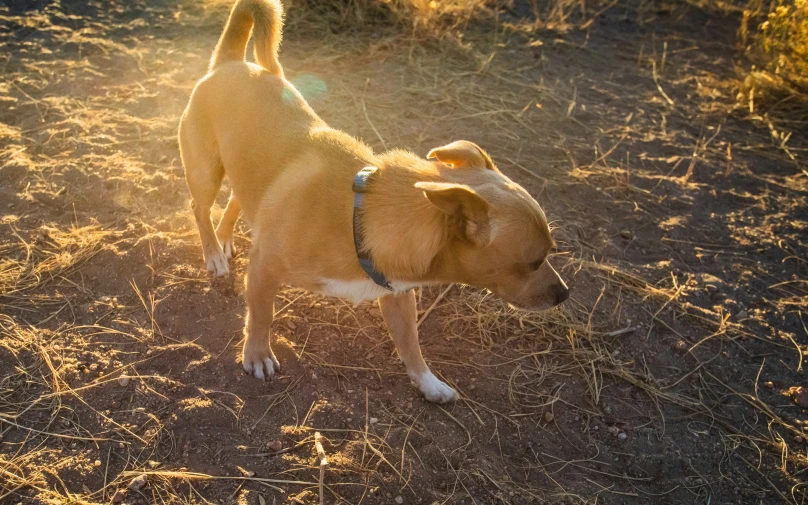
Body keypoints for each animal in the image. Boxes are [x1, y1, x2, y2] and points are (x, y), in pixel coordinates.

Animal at [178, 0, 568, 402]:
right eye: (533, 262)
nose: (564, 294)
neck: (360, 214)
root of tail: (229, 63)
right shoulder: (263, 269)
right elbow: (261, 315)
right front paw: (256, 354)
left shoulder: (398, 295)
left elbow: (411, 344)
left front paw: (429, 383)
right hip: (206, 171)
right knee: (200, 208)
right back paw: (213, 254)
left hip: (245, 175)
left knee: (235, 203)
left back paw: (225, 239)